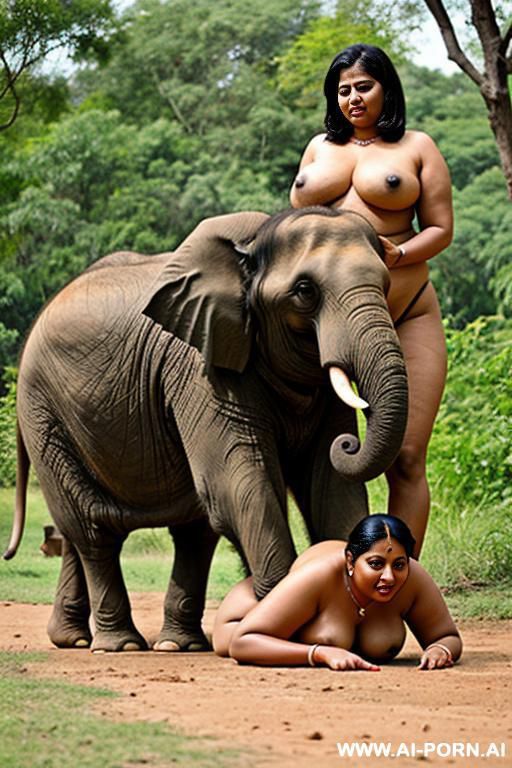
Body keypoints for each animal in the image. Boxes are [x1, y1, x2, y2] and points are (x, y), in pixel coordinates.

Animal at [3, 206, 408, 652]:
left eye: (387, 285)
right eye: (305, 291)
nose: (349, 443)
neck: (255, 244)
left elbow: (330, 486)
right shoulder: (200, 365)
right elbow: (239, 483)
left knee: (186, 533)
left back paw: (138, 643)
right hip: (43, 412)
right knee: (93, 529)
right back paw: (121, 645)